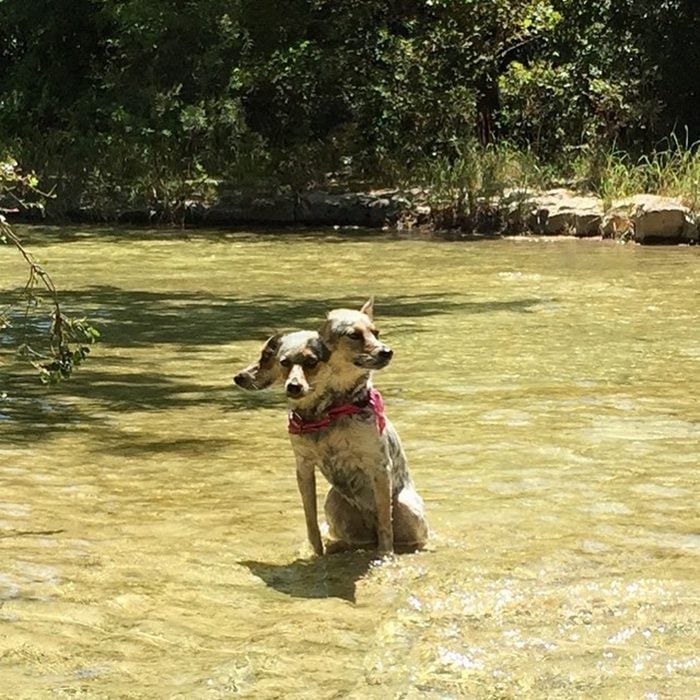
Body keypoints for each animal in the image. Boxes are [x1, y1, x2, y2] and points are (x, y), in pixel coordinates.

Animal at [235, 300, 430, 556]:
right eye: (354, 335)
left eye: (376, 333)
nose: (387, 351)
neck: (327, 412)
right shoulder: (303, 467)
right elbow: (310, 522)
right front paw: (315, 554)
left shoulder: (378, 466)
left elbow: (385, 526)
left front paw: (384, 556)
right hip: (334, 503)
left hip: (405, 507)